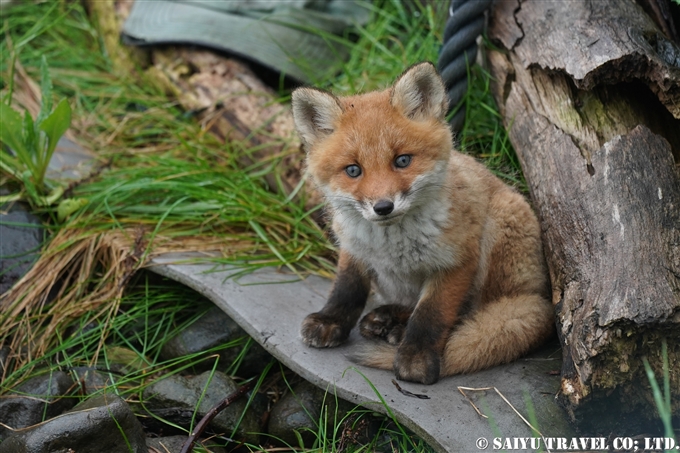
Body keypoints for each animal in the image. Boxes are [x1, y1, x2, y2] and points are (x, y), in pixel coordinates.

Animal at [290, 61, 552, 384]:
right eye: (353, 170)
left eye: (402, 161)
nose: (383, 207)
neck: (393, 247)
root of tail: (541, 298)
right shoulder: (354, 248)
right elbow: (346, 289)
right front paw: (331, 319)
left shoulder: (456, 262)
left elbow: (432, 314)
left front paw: (416, 357)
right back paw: (386, 319)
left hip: (500, 227)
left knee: (471, 316)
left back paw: (398, 328)